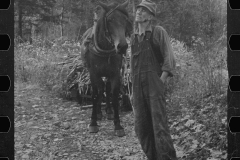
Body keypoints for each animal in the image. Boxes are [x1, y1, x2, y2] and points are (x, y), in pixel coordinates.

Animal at [82, 0, 131, 137]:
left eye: (125, 20)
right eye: (109, 20)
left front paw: (117, 124)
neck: (104, 49)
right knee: (100, 89)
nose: (122, 46)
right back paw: (99, 112)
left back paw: (108, 111)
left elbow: (113, 96)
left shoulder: (115, 74)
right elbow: (94, 95)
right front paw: (93, 122)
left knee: (106, 89)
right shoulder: (93, 73)